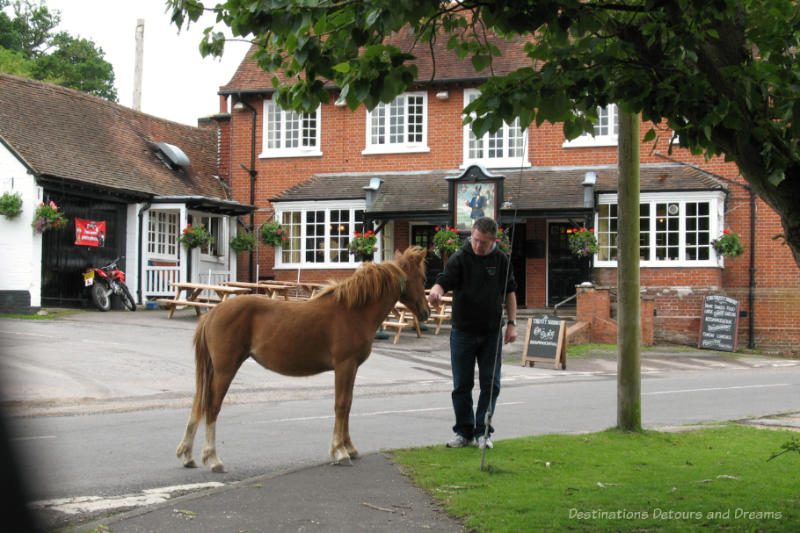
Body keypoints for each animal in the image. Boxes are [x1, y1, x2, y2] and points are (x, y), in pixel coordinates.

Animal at [177, 245, 432, 470]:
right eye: (421, 278)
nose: (426, 312)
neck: (353, 312)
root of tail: (212, 313)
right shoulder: (345, 365)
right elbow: (341, 405)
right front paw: (339, 451)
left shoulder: (352, 368)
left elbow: (348, 404)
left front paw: (349, 447)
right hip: (225, 369)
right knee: (212, 407)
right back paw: (213, 459)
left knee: (199, 403)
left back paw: (188, 455)